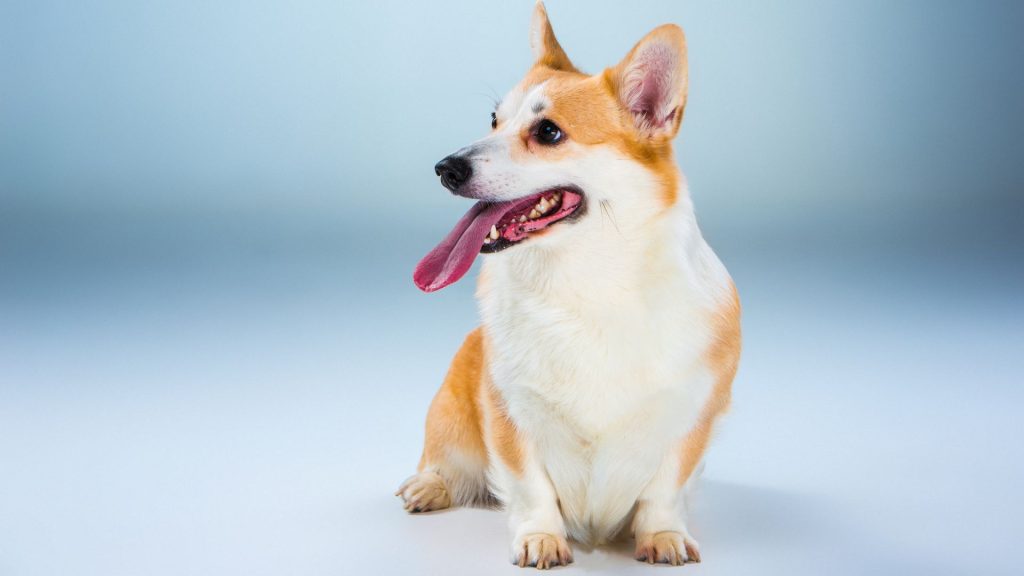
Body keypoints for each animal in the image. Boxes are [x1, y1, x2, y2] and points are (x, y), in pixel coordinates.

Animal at [395, 1, 741, 565]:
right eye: (494, 120)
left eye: (549, 133)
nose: (445, 168)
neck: (587, 278)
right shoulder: (509, 412)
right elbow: (531, 486)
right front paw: (541, 538)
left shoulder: (693, 415)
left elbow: (665, 488)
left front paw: (663, 535)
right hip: (451, 414)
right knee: (449, 462)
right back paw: (429, 486)